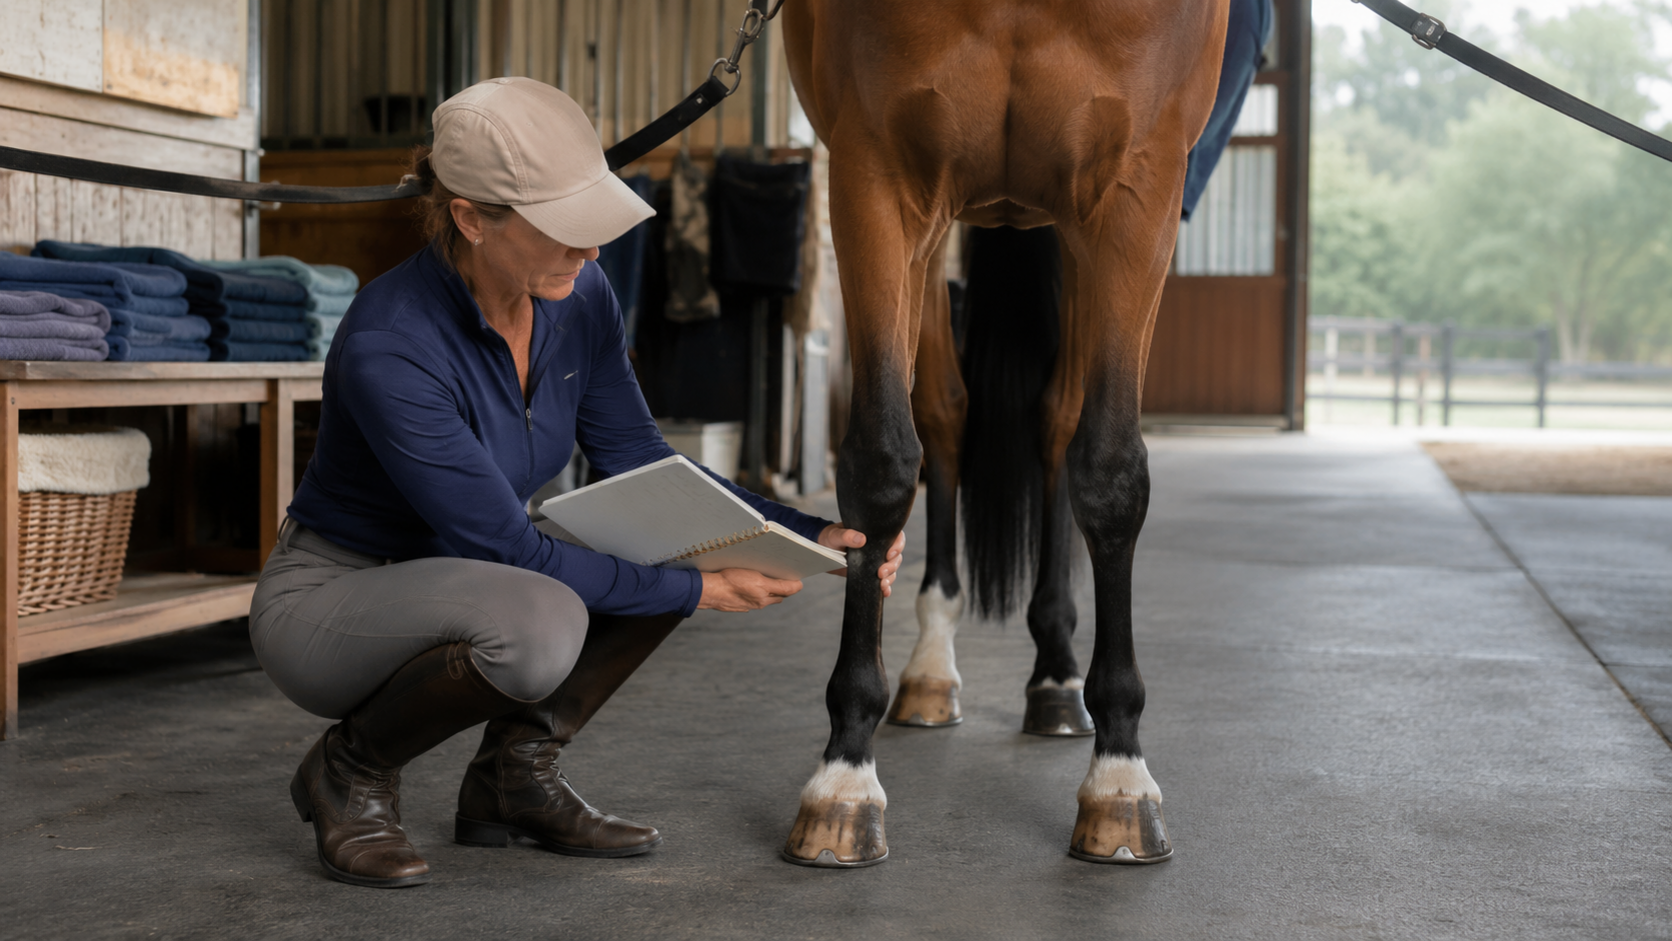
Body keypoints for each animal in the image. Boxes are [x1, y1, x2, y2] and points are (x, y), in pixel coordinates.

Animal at [778, 0, 1231, 866]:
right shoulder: (876, 171)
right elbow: (883, 462)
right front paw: (843, 777)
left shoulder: (1137, 185)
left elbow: (1110, 472)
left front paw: (1120, 777)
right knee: (944, 415)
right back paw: (929, 670)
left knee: (1057, 422)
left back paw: (1057, 676)